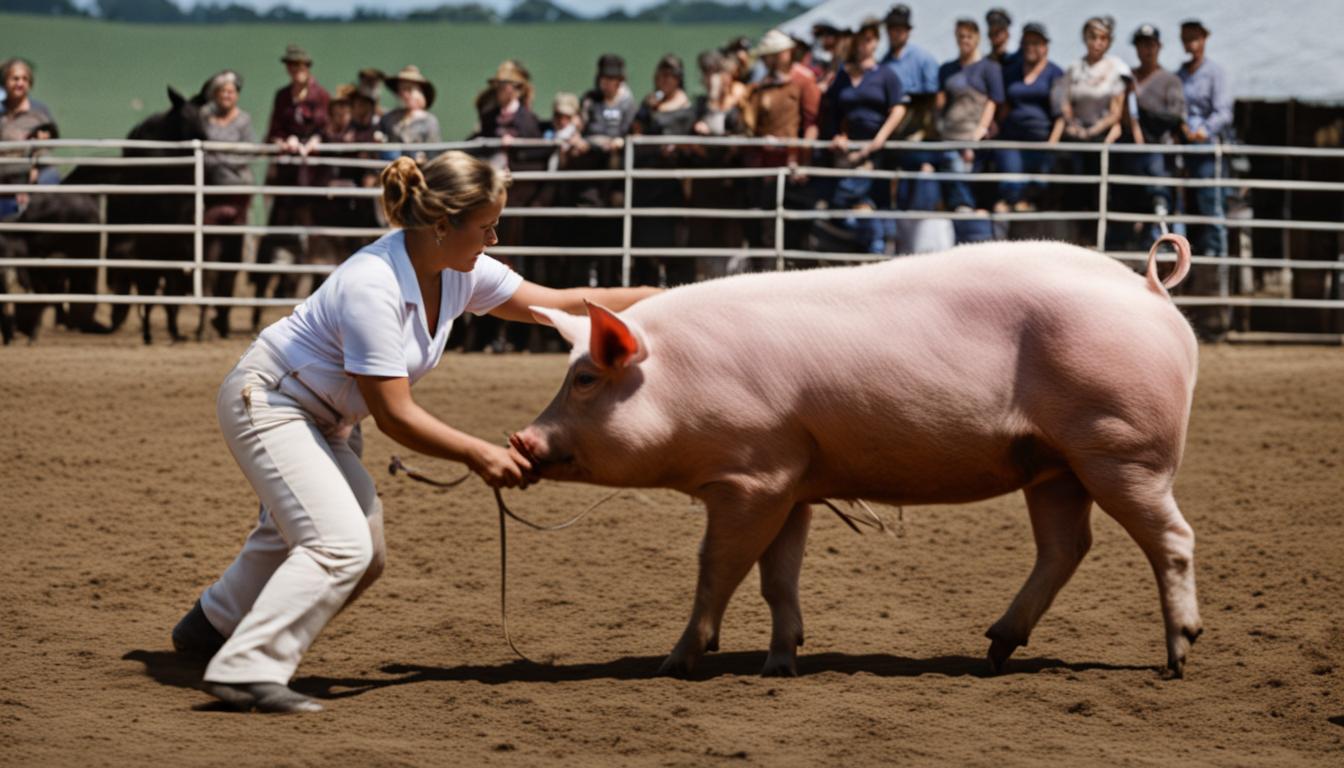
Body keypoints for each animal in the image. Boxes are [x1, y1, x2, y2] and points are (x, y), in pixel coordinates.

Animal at [513, 235, 1202, 679]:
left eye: (585, 380)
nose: (522, 440)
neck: (681, 381)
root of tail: (1149, 289)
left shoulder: (751, 476)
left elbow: (717, 567)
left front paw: (674, 662)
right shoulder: (789, 482)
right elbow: (776, 578)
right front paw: (780, 664)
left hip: (1121, 447)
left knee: (1172, 538)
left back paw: (1177, 658)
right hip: (1053, 464)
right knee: (1066, 546)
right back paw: (994, 652)